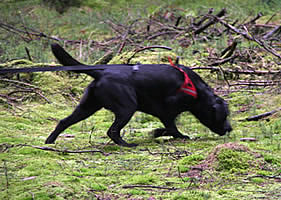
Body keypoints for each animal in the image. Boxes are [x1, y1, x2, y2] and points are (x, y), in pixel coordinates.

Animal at [44, 43, 231, 147]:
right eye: (223, 116)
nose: (230, 129)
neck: (197, 90)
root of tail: (101, 72)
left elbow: (170, 127)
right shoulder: (166, 109)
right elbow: (171, 127)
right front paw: (159, 133)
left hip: (87, 107)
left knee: (63, 121)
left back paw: (49, 142)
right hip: (127, 107)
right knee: (112, 131)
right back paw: (127, 145)